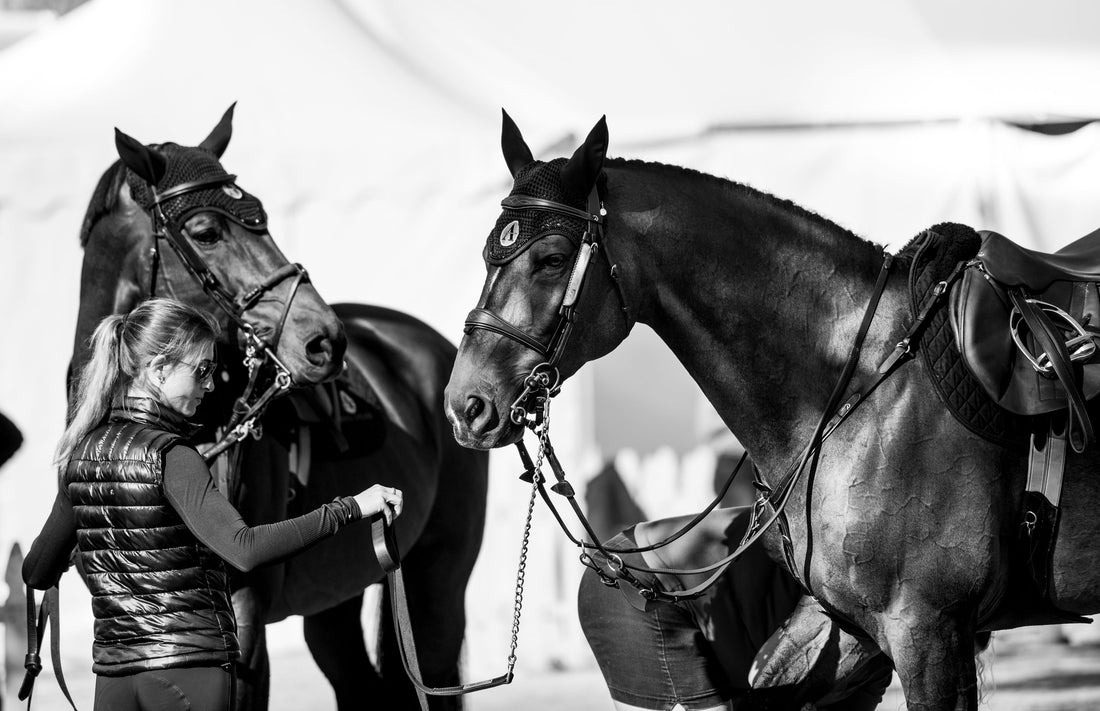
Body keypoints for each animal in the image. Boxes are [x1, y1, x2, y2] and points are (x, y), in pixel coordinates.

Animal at [75, 107, 488, 711]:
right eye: (206, 231)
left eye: (262, 216)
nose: (325, 342)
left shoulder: (245, 614)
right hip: (336, 598)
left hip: (439, 576)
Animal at [444, 114, 1100, 708]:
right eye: (487, 254)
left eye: (553, 258)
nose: (467, 405)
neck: (863, 383)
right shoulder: (857, 630)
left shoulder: (930, 633)